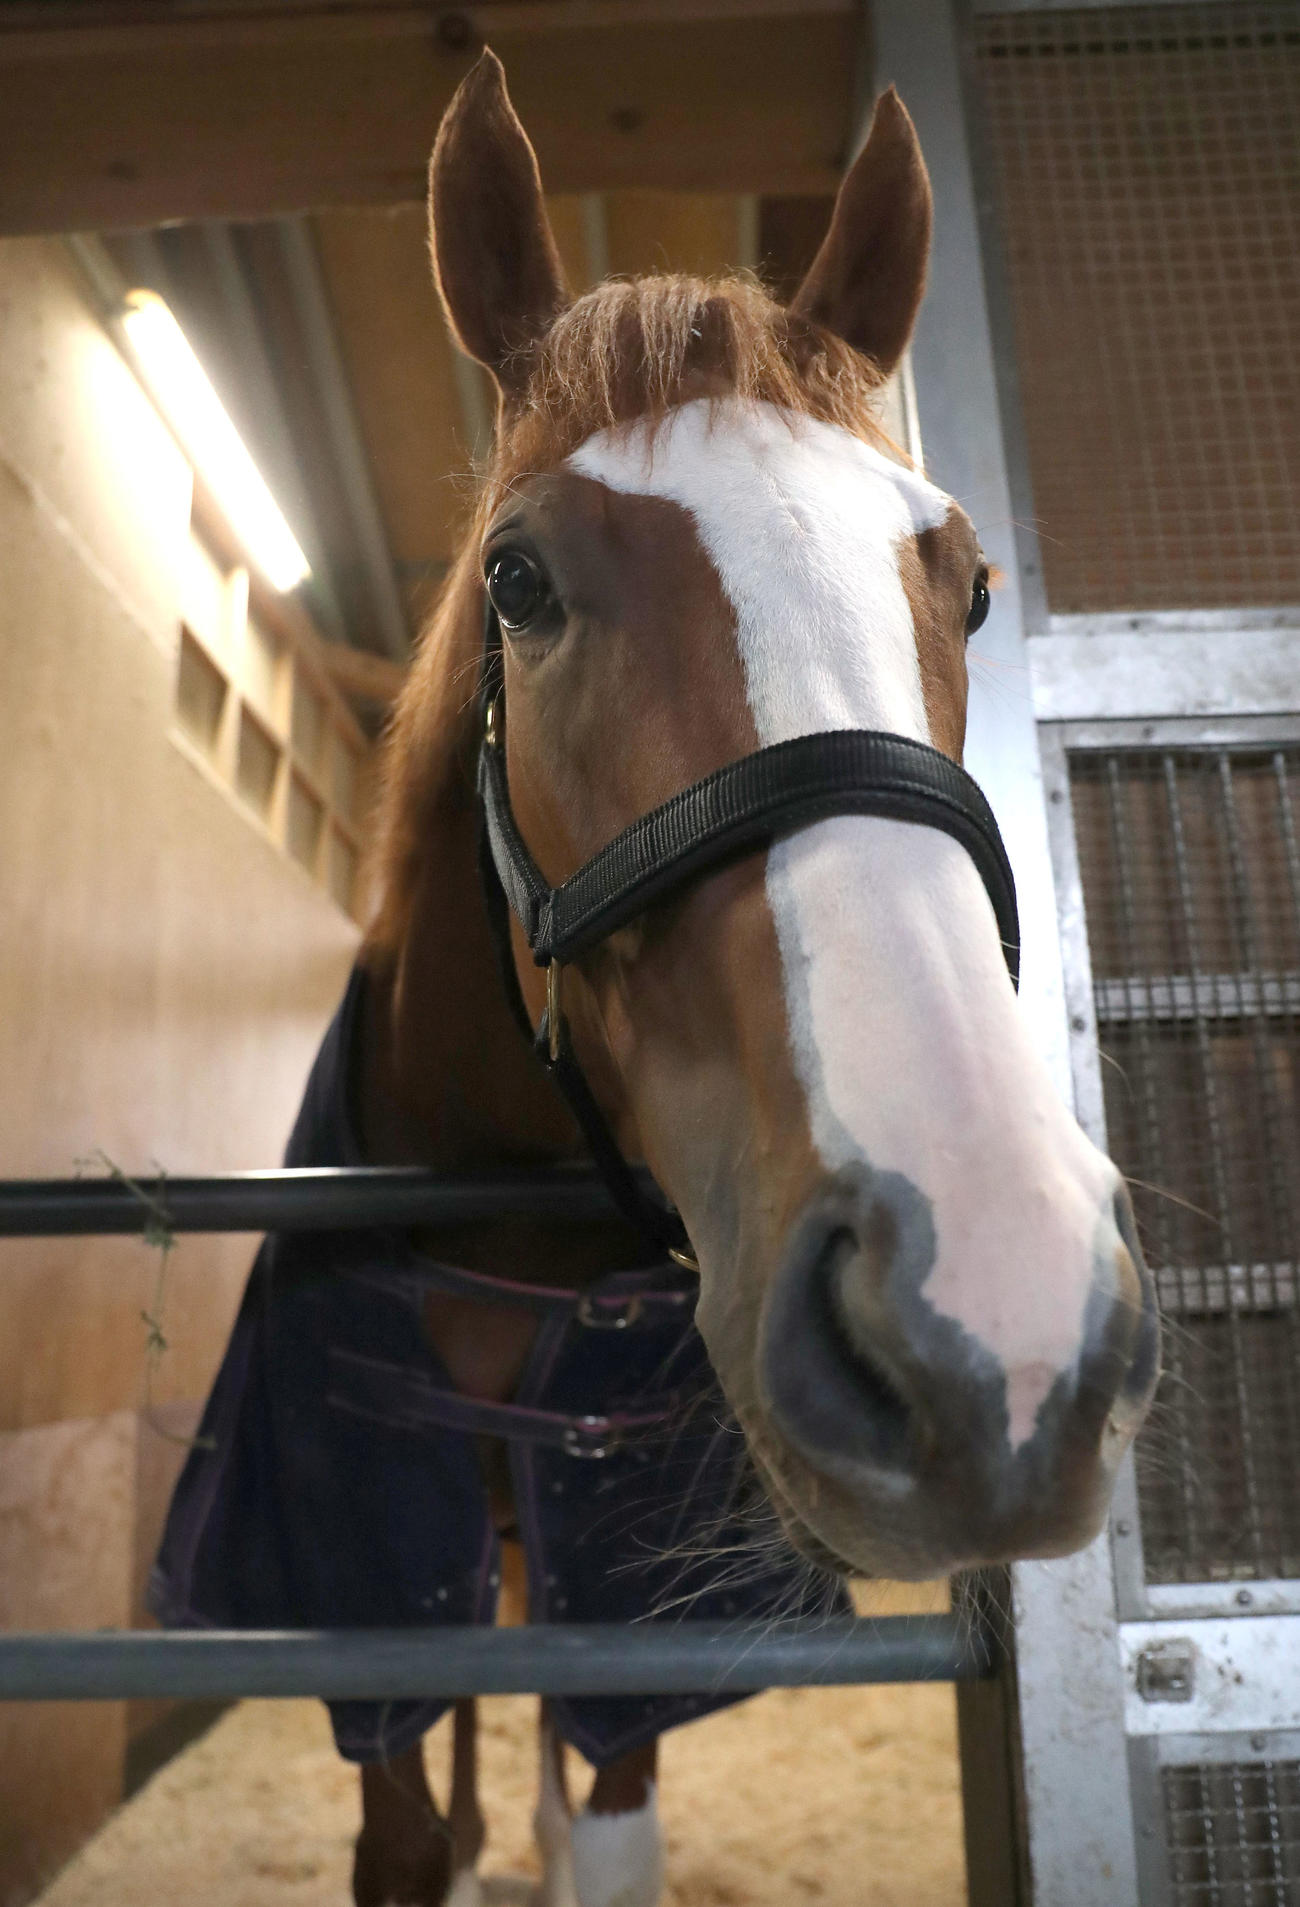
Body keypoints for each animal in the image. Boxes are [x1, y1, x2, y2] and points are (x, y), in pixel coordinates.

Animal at [152, 50, 1159, 1907]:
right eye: (517, 577)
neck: (507, 1240)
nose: (993, 1318)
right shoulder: (360, 1615)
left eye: (974, 585)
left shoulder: (626, 1637)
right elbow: (416, 1819)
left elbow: (598, 1811)